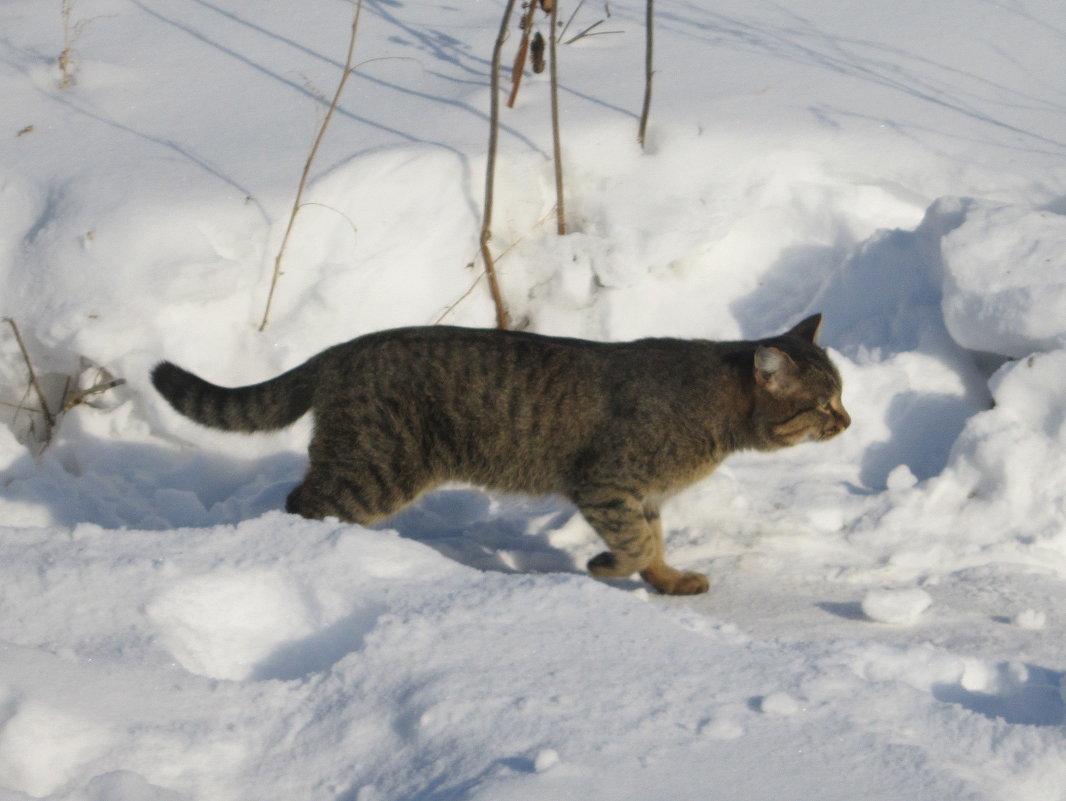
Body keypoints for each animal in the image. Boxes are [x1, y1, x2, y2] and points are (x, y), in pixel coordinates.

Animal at [152, 313, 848, 597]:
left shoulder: (641, 496)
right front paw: (606, 567)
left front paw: (669, 580)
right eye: (822, 404)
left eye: (840, 395)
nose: (847, 420)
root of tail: (342, 349)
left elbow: (654, 544)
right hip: (373, 469)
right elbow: (634, 544)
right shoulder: (606, 485)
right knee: (301, 504)